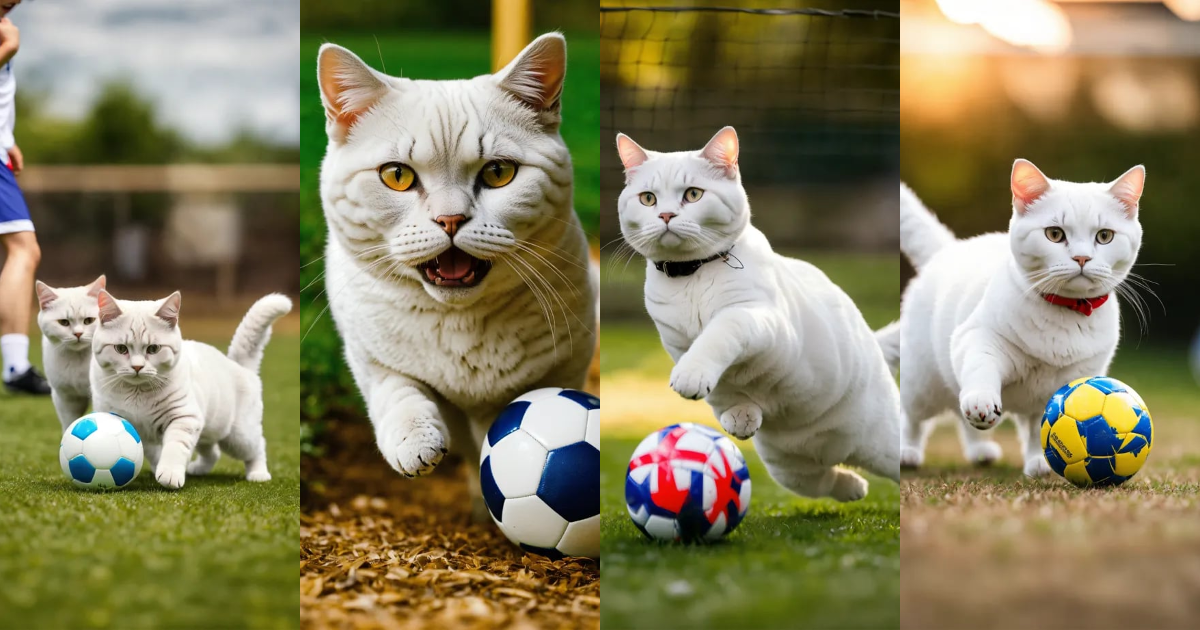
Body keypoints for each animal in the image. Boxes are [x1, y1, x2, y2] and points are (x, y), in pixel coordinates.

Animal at [34, 273, 105, 427]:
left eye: (89, 320)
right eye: (64, 322)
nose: (78, 334)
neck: (76, 361)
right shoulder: (65, 399)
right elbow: (69, 424)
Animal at [89, 286, 292, 489]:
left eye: (153, 349)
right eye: (121, 349)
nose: (137, 367)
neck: (137, 394)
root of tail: (238, 365)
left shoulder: (184, 417)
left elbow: (174, 447)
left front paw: (170, 474)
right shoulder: (135, 427)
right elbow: (152, 452)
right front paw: (159, 468)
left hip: (239, 437)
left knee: (258, 447)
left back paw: (258, 474)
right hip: (208, 432)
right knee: (213, 452)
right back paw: (198, 469)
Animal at [314, 31, 595, 504]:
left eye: (498, 172)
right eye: (396, 175)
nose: (450, 219)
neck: (460, 323)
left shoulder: (567, 364)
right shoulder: (368, 356)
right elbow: (399, 392)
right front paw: (415, 442)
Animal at [619, 126, 902, 501]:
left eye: (693, 194)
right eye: (648, 199)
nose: (665, 215)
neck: (691, 275)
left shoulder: (755, 317)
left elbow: (717, 336)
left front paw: (692, 376)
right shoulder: (676, 342)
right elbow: (724, 389)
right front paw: (740, 415)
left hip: (884, 443)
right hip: (787, 469)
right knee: (825, 480)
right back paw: (854, 486)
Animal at [902, 158, 1142, 477]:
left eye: (1105, 236)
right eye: (1055, 234)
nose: (1081, 258)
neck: (1065, 314)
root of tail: (950, 249)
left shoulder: (1071, 379)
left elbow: (1041, 425)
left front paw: (1040, 462)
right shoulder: (977, 337)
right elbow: (980, 371)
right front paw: (982, 401)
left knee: (965, 423)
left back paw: (981, 451)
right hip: (922, 383)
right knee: (912, 418)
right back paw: (907, 452)